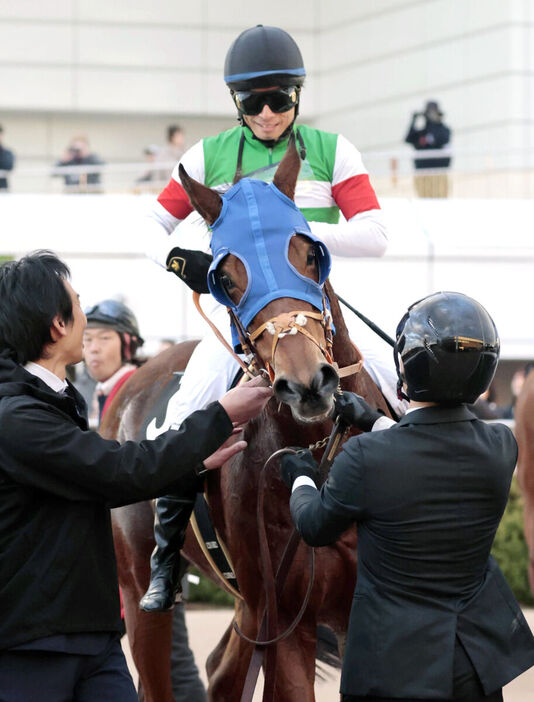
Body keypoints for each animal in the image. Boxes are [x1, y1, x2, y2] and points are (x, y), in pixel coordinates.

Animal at [102, 139, 392, 702]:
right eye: (226, 278)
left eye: (309, 255)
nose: (307, 384)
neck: (320, 461)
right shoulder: (286, 622)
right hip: (138, 583)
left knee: (220, 669)